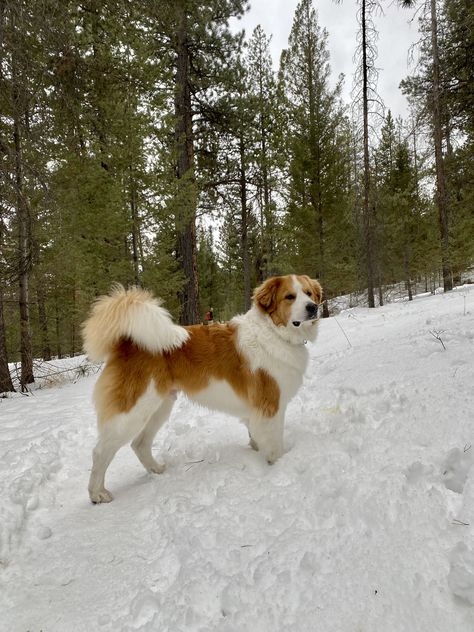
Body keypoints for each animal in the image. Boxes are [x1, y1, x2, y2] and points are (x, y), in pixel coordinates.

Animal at [83, 274, 324, 502]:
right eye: (290, 297)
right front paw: (280, 464)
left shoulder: (255, 411)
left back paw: (156, 469)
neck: (273, 332)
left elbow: (256, 436)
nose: (313, 307)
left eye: (309, 293)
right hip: (132, 412)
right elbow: (275, 444)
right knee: (100, 452)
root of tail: (126, 343)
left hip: (158, 407)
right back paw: (97, 494)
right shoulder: (271, 407)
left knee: (139, 444)